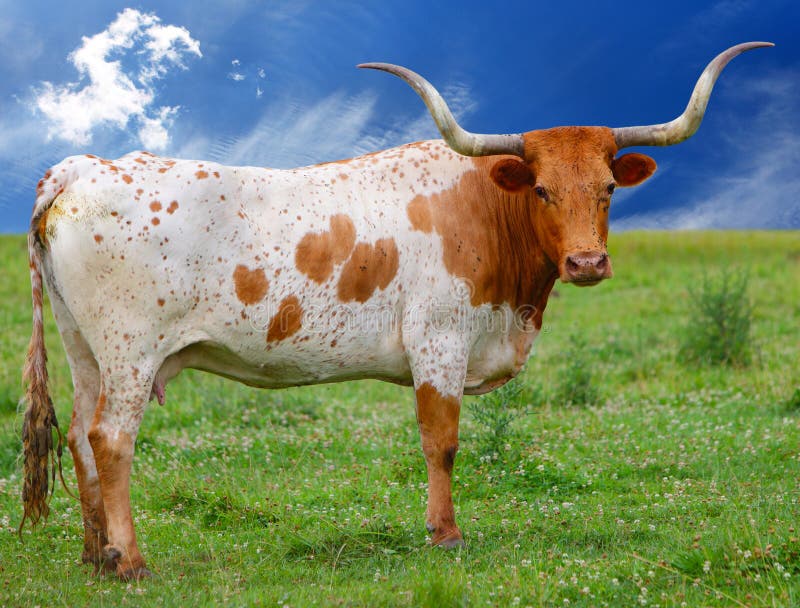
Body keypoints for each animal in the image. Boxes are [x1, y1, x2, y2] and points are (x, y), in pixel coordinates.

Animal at [21, 42, 771, 579]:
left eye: (609, 188)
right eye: (544, 191)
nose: (587, 263)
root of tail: (80, 168)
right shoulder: (439, 343)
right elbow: (442, 442)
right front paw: (446, 534)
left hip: (85, 348)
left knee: (78, 438)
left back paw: (96, 555)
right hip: (129, 349)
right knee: (111, 440)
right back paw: (132, 562)